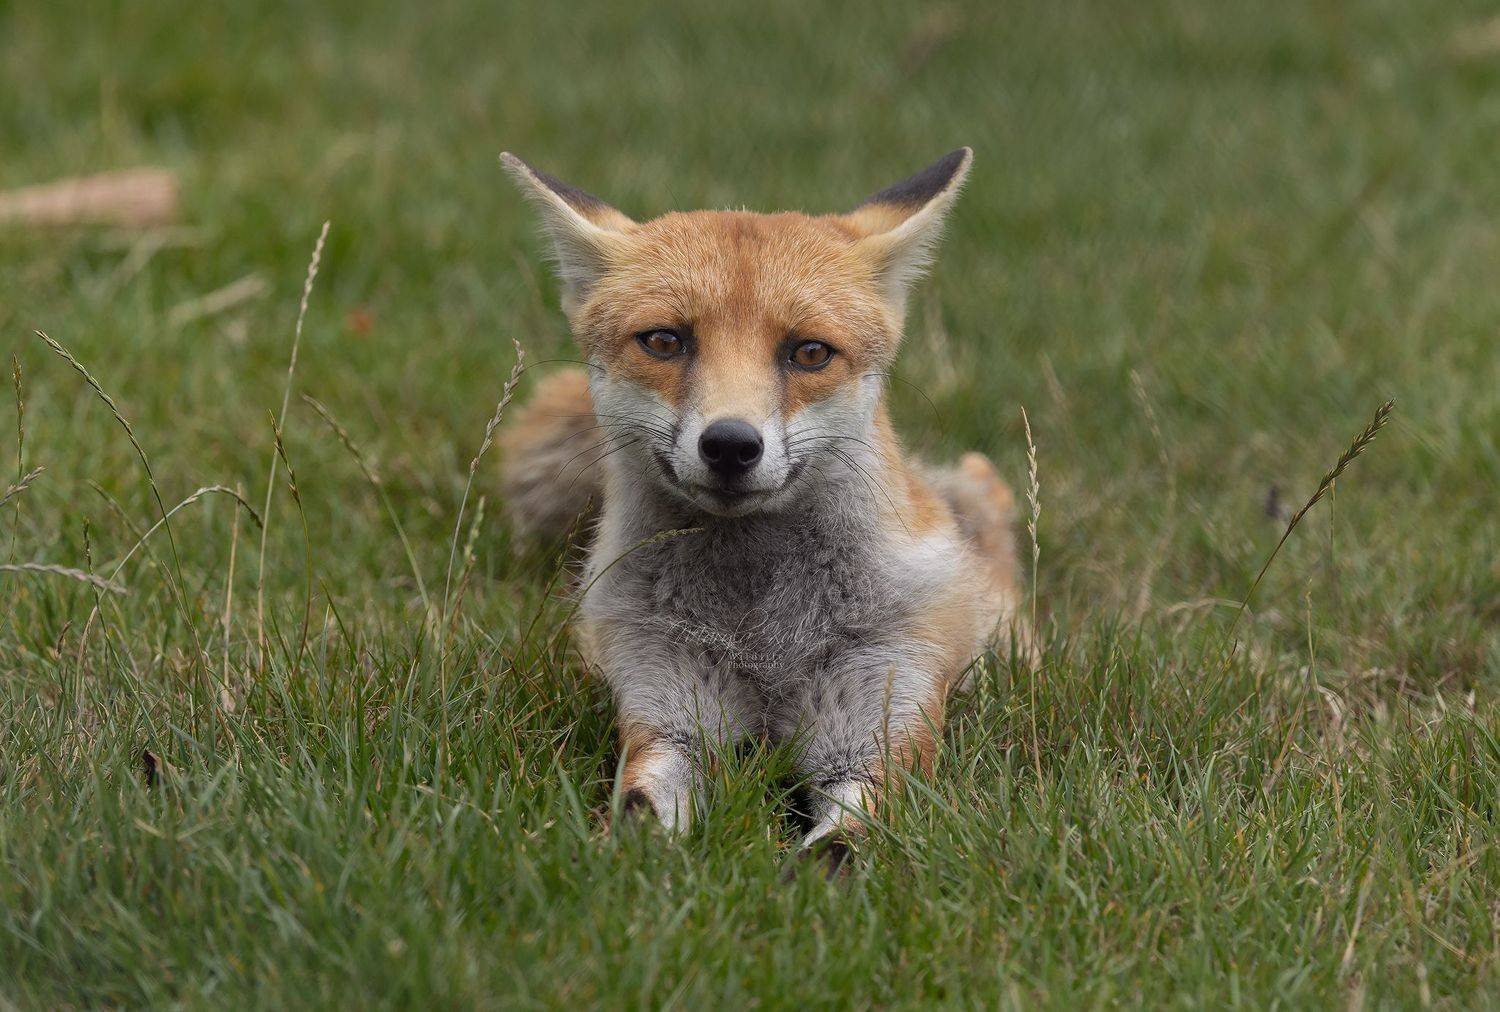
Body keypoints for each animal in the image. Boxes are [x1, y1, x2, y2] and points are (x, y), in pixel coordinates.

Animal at [497, 148, 1028, 870]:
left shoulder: (881, 727)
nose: (730, 444)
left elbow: (840, 853)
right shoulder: (666, 718)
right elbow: (637, 817)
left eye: (809, 352)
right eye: (664, 341)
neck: (763, 637)